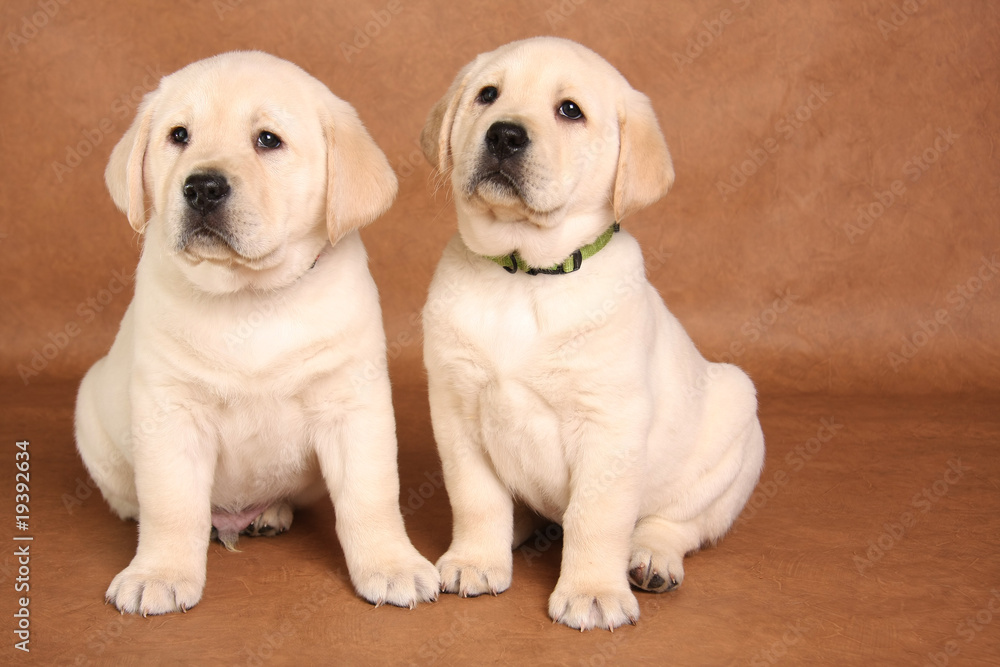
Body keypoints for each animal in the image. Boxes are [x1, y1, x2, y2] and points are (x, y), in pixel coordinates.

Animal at [78, 52, 438, 616]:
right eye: (179, 135)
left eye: (268, 140)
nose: (201, 187)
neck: (250, 296)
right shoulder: (170, 409)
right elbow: (172, 504)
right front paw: (159, 572)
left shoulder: (352, 404)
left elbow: (370, 495)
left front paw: (392, 564)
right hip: (90, 412)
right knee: (135, 497)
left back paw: (271, 513)